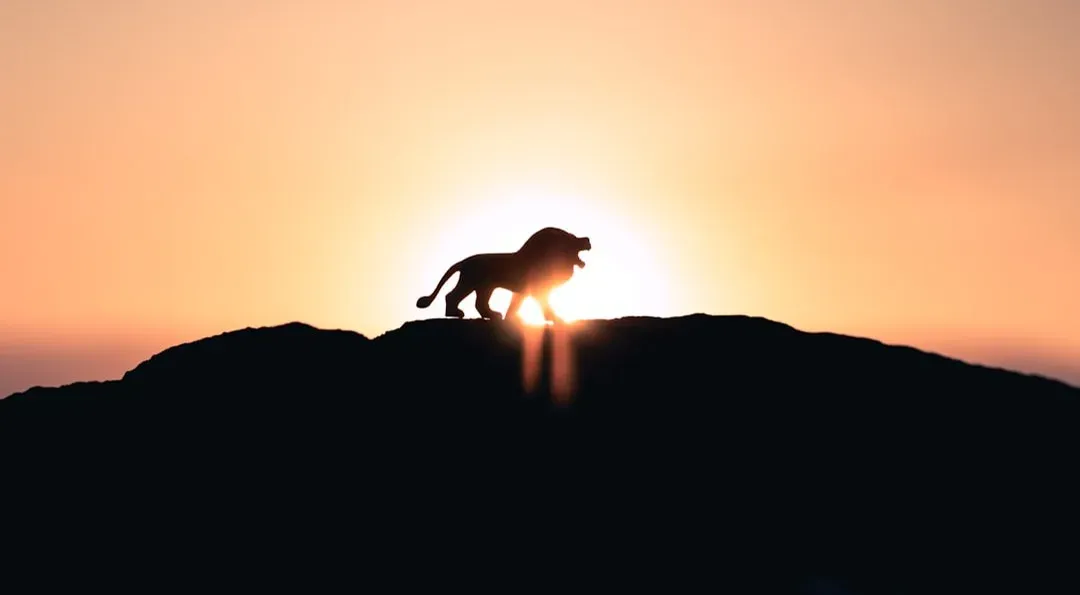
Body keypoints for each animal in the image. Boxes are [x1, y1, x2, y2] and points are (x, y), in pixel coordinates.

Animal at [415, 227, 591, 322]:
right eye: (572, 237)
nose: (588, 239)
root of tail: (463, 261)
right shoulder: (537, 290)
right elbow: (545, 304)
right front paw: (555, 318)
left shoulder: (523, 292)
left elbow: (515, 304)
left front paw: (510, 318)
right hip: (471, 282)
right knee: (452, 296)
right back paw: (456, 313)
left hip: (485, 287)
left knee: (480, 303)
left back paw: (493, 315)